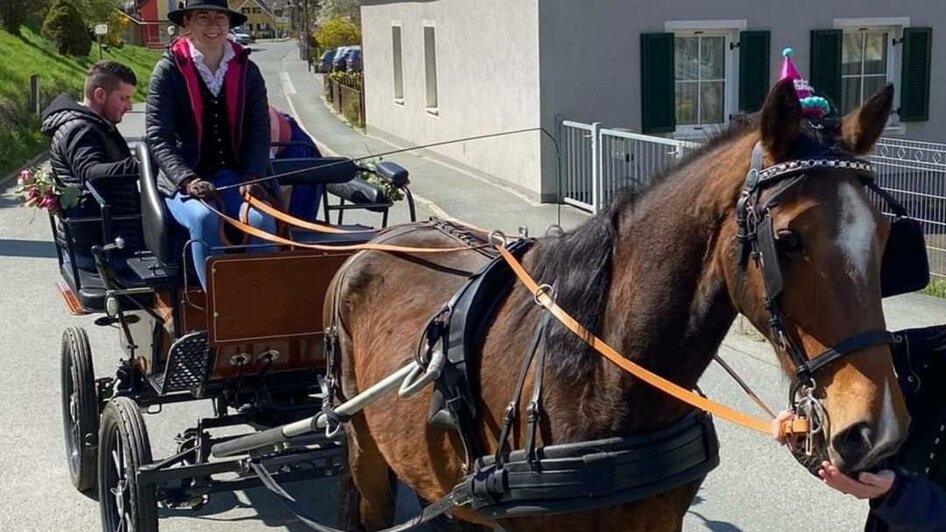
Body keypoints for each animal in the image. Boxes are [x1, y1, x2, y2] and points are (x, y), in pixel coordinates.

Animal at [322, 80, 908, 532]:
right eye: (786, 240)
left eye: (885, 236)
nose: (876, 431)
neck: (602, 378)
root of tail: (378, 242)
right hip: (363, 448)